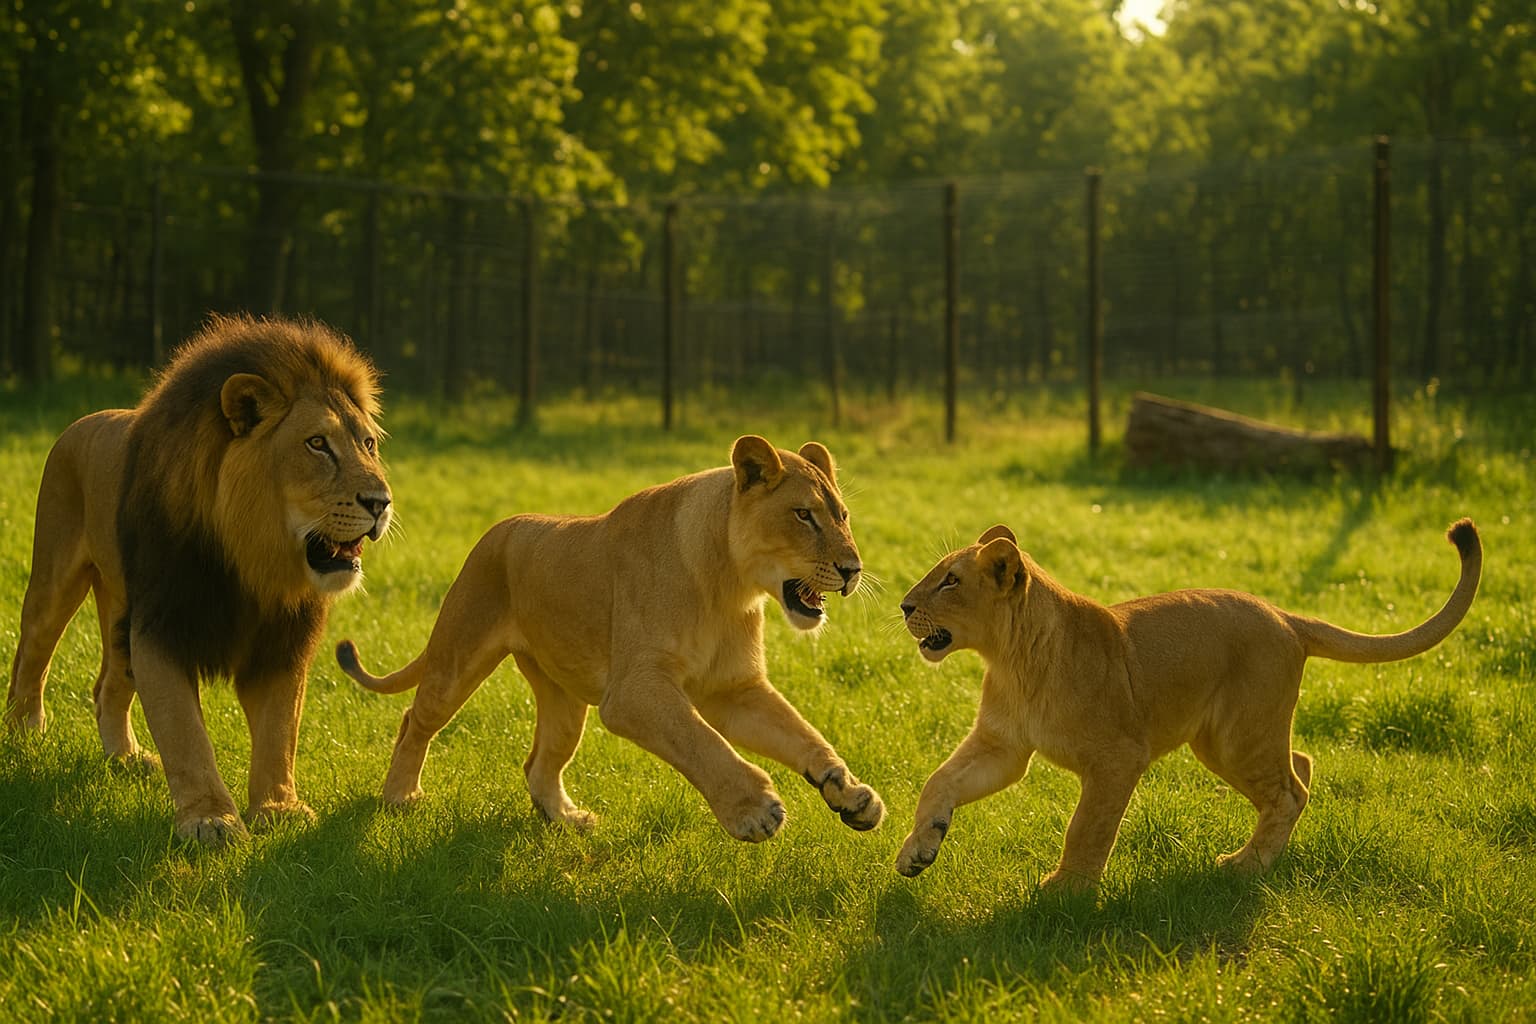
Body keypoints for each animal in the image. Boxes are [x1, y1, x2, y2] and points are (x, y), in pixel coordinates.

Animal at [5, 314, 392, 844]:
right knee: (31, 656)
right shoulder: (162, 625)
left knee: (106, 688)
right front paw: (210, 820)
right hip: (55, 580)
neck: (253, 563)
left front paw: (278, 808)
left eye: (368, 444)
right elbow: (185, 732)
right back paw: (24, 736)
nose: (382, 502)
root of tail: (85, 419)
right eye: (317, 444)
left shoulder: (281, 642)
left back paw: (125, 759)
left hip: (121, 614)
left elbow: (279, 732)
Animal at [335, 435, 885, 842]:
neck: (730, 585)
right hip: (457, 657)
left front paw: (848, 791)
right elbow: (700, 740)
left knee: (539, 762)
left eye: (842, 516)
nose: (853, 569)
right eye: (803, 515)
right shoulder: (633, 691)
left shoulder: (734, 689)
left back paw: (568, 820)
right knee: (415, 721)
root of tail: (497, 530)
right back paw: (399, 798)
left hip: (563, 699)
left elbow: (801, 733)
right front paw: (754, 809)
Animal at [895, 519, 1481, 890]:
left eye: (950, 581)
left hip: (1236, 738)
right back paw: (1266, 857)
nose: (903, 606)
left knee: (1290, 790)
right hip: (1228, 740)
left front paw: (1066, 889)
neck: (1010, 658)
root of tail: (1286, 615)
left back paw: (1246, 866)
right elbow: (939, 782)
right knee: (1302, 766)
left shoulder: (1119, 757)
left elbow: (1088, 825)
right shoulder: (1003, 745)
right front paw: (917, 852)